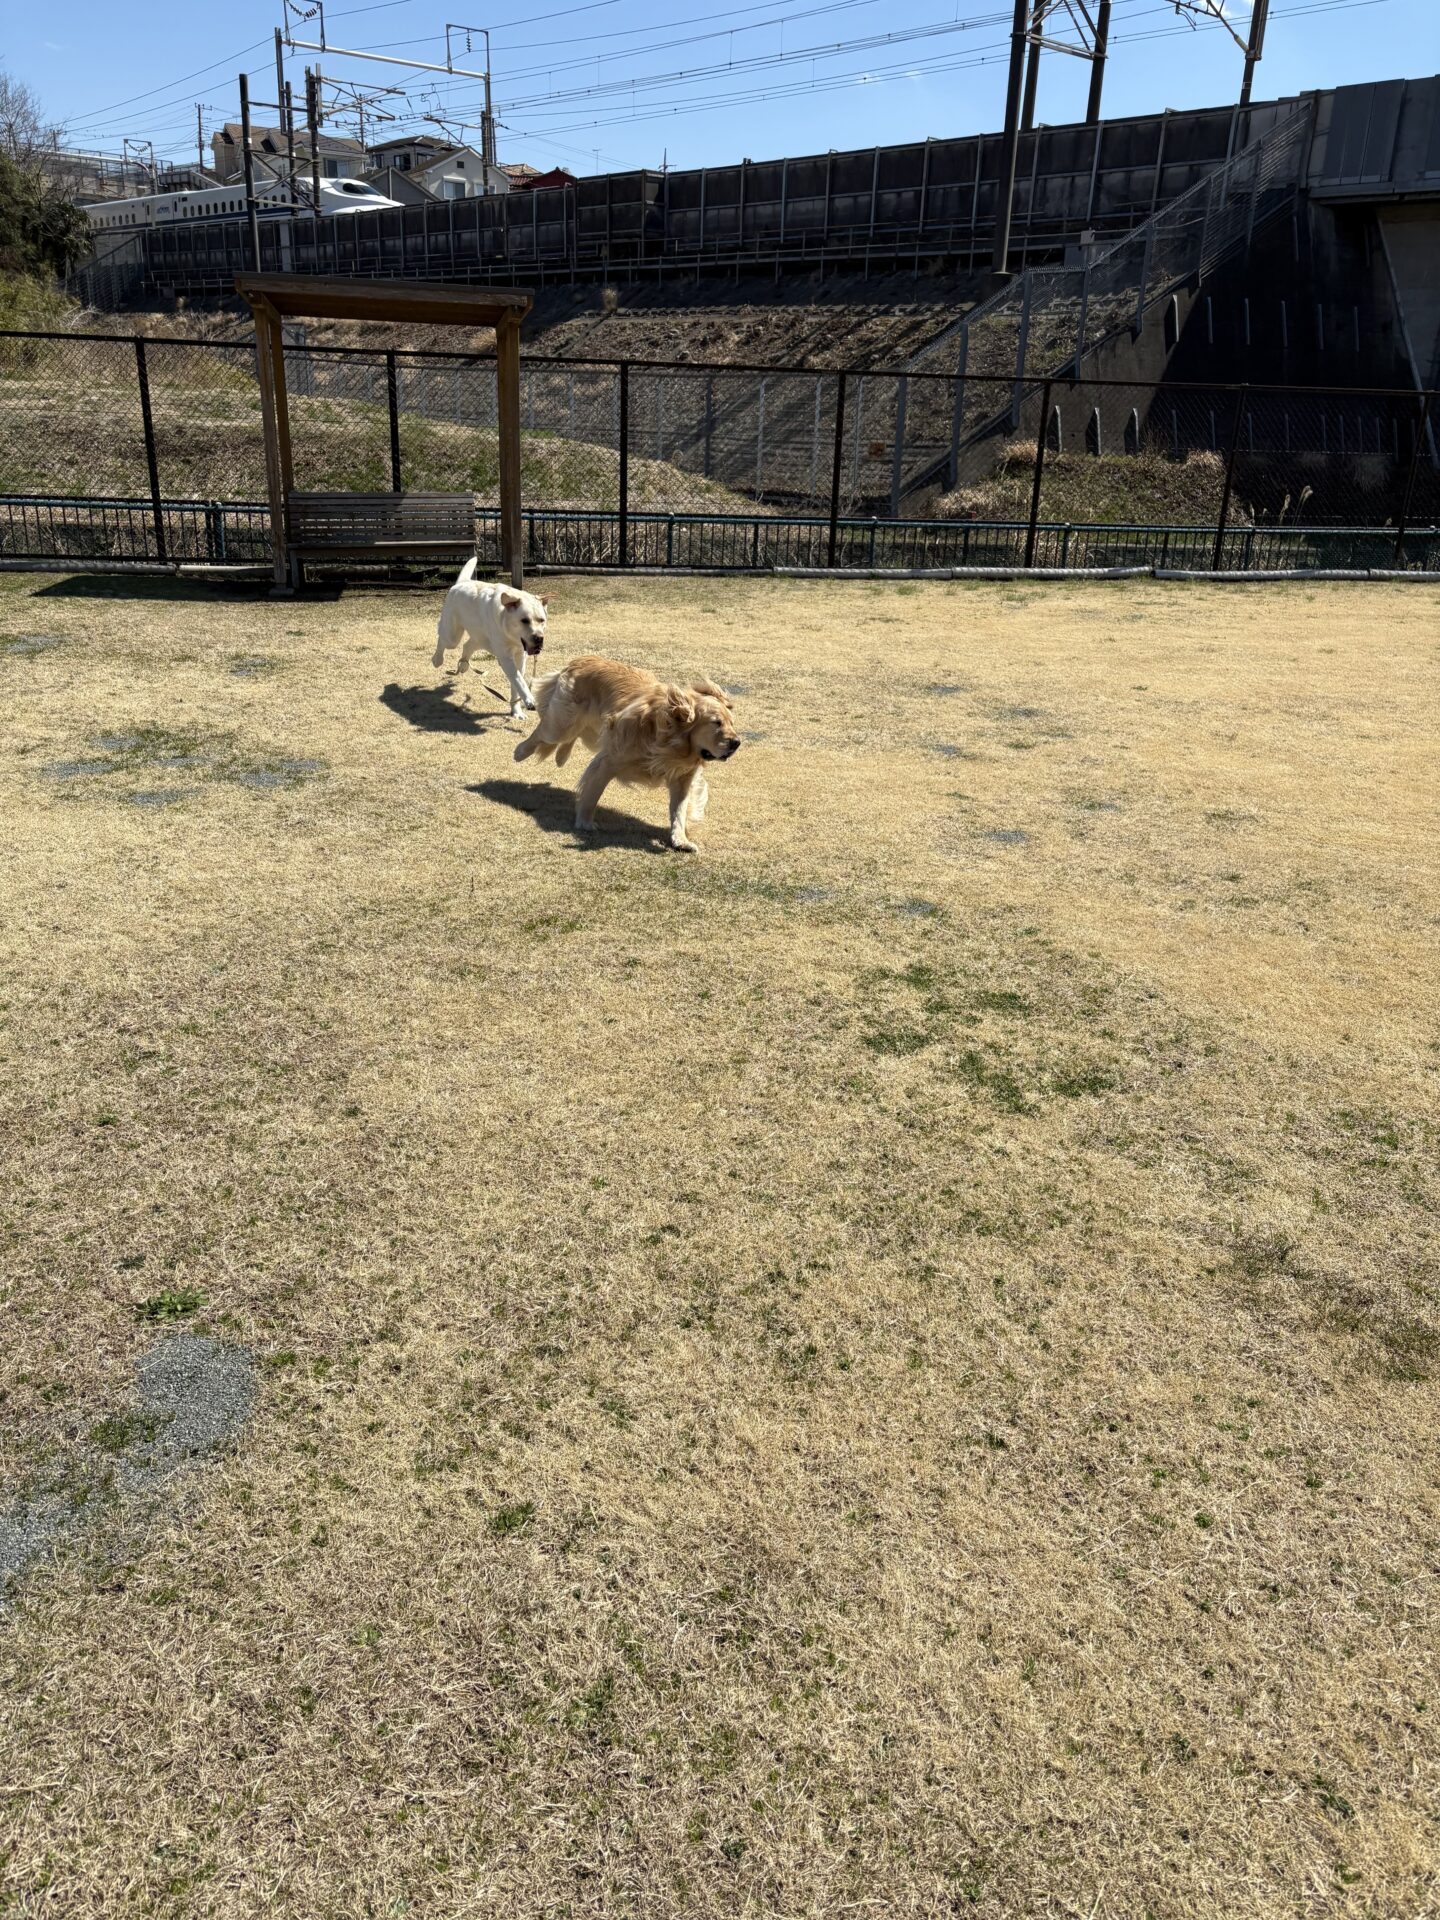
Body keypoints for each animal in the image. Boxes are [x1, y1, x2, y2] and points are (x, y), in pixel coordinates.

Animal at [432, 558, 549, 717]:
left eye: (542, 620)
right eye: (524, 620)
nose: (538, 639)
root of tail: (462, 582)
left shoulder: (520, 656)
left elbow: (516, 684)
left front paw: (516, 711)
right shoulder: (505, 657)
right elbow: (519, 680)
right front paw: (529, 700)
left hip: (481, 639)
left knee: (467, 646)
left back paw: (463, 665)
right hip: (453, 636)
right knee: (443, 639)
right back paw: (437, 660)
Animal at [514, 654, 740, 853]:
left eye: (731, 723)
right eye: (716, 723)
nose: (737, 743)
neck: (668, 742)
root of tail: (579, 660)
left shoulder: (682, 779)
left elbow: (679, 811)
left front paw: (680, 840)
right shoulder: (608, 761)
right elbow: (592, 794)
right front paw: (585, 822)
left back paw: (560, 756)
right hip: (563, 724)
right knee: (542, 733)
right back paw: (520, 752)